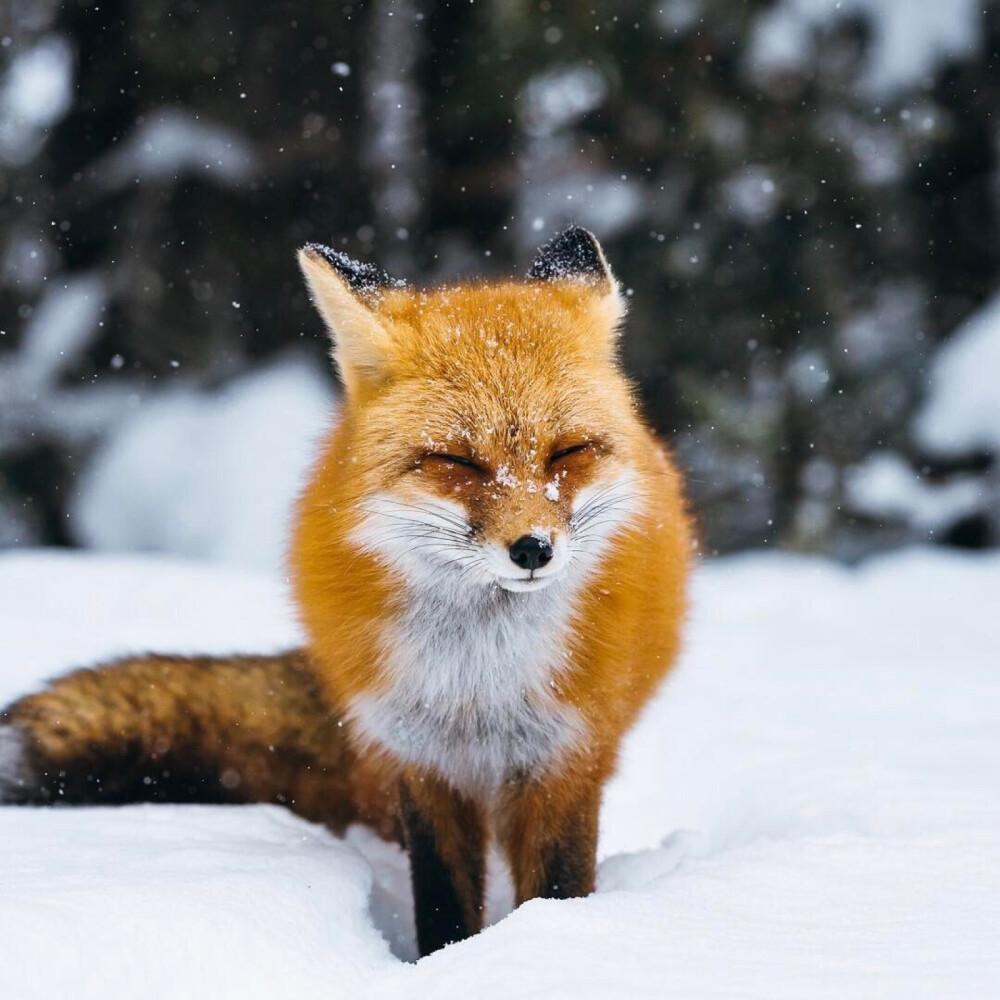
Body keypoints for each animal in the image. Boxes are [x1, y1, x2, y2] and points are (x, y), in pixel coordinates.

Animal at [0, 227, 688, 952]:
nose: (533, 549)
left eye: (568, 452)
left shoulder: (565, 756)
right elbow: (442, 897)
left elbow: (557, 885)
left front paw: (547, 946)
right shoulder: (423, 757)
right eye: (457, 461)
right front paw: (448, 961)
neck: (480, 681)